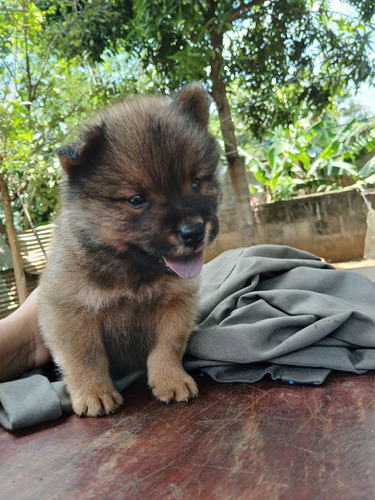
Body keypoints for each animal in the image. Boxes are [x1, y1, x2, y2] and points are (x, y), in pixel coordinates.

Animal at [38, 83, 222, 418]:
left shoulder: (176, 303)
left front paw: (170, 380)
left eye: (195, 183)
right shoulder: (68, 310)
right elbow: (86, 356)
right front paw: (94, 393)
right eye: (136, 200)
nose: (193, 232)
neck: (132, 273)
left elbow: (168, 346)